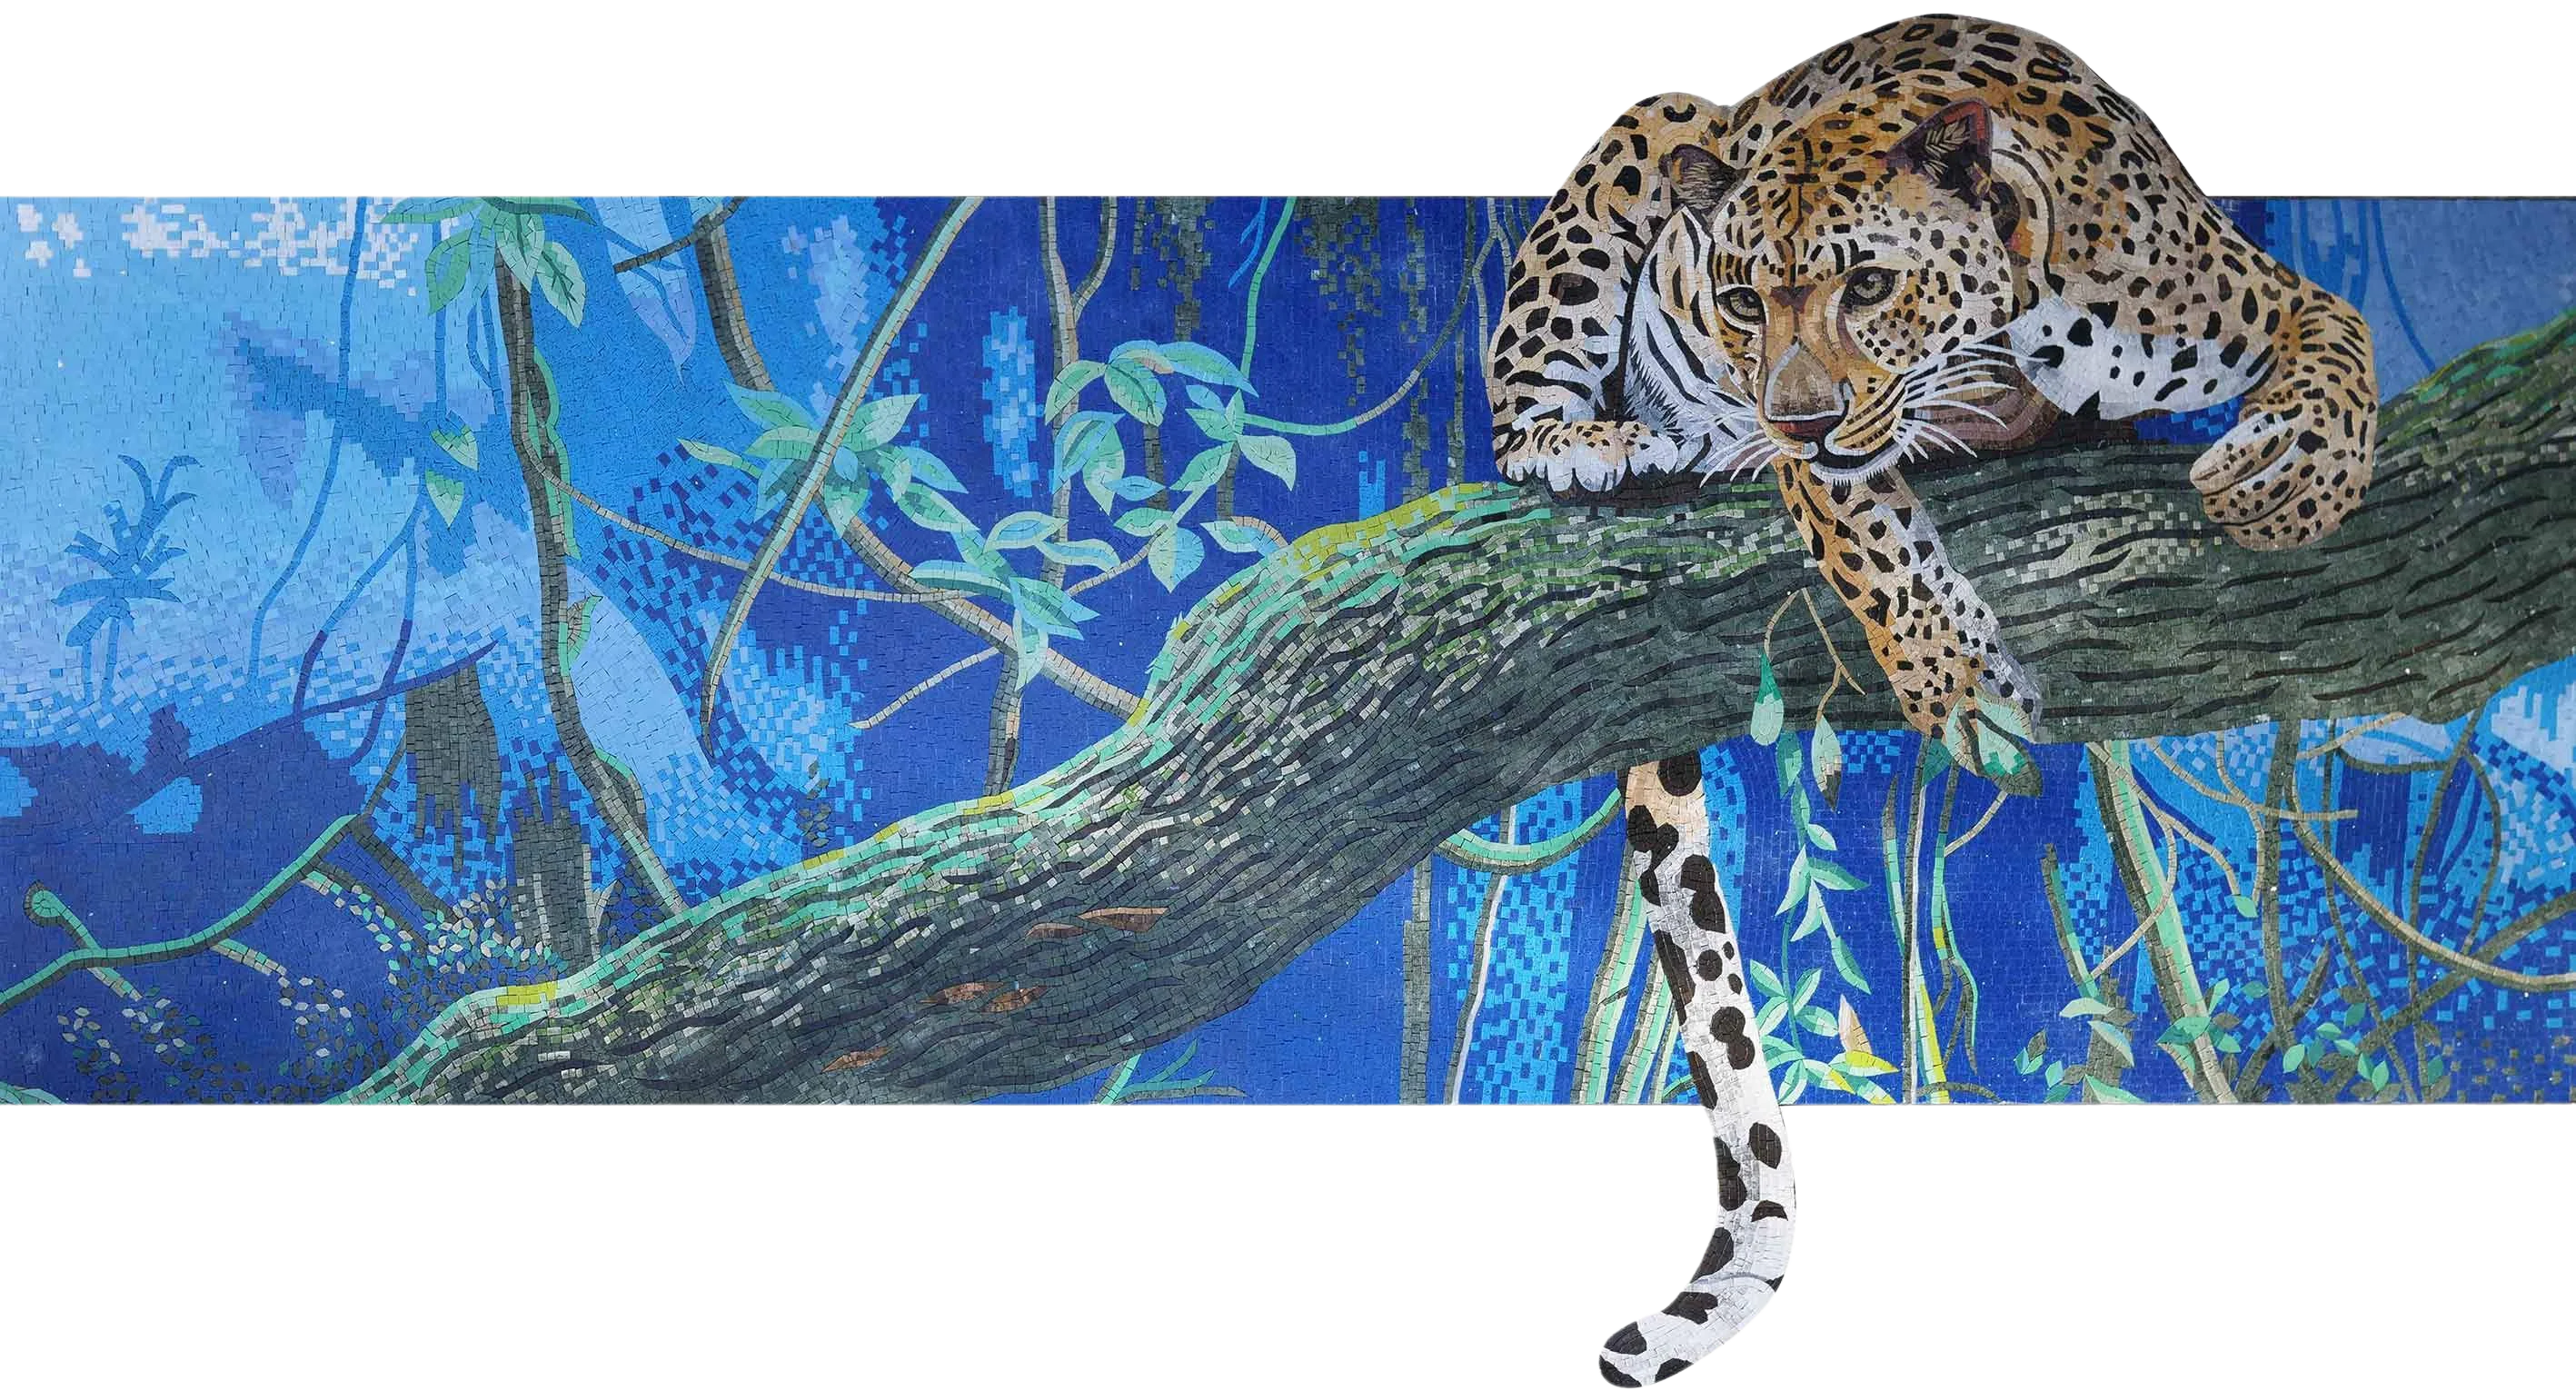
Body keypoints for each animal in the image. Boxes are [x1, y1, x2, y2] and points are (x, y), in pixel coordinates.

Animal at [1483, 15, 2380, 1388]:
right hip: (1644, 135)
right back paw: (1590, 442)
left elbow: (2338, 338)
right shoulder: (1823, 453)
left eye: (1865, 286)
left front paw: (2285, 482)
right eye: (1739, 300)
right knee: (1518, 396)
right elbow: (1868, 534)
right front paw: (1959, 685)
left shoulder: (2246, 294)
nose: (1788, 409)